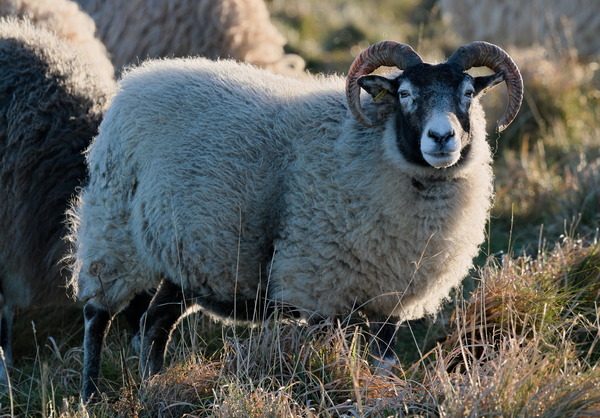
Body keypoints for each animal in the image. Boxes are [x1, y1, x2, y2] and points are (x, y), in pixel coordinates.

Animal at [68, 40, 524, 402]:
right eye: (405, 93)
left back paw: (154, 385)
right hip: (113, 227)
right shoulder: (319, 287)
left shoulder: (388, 298)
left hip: (186, 257)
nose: (442, 138)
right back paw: (91, 395)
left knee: (155, 321)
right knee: (97, 314)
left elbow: (386, 362)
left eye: (468, 92)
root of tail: (139, 77)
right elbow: (326, 359)